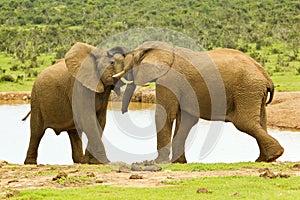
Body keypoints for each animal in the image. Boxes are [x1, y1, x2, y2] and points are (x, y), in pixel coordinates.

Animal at [113, 41, 284, 164]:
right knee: (260, 122)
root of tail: (265, 75)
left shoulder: (169, 79)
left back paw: (273, 155)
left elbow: (166, 115)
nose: (123, 112)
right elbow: (186, 120)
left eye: (130, 62)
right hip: (254, 91)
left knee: (245, 122)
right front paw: (178, 162)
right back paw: (265, 158)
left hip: (247, 89)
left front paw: (155, 162)